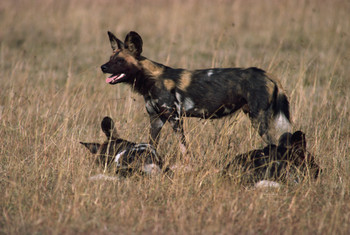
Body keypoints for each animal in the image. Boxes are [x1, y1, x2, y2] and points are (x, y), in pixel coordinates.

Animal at [100, 30, 292, 156]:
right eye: (110, 59)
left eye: (120, 60)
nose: (102, 67)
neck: (150, 79)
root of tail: (269, 75)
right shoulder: (156, 119)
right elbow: (151, 145)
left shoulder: (175, 118)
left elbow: (184, 147)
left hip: (258, 119)